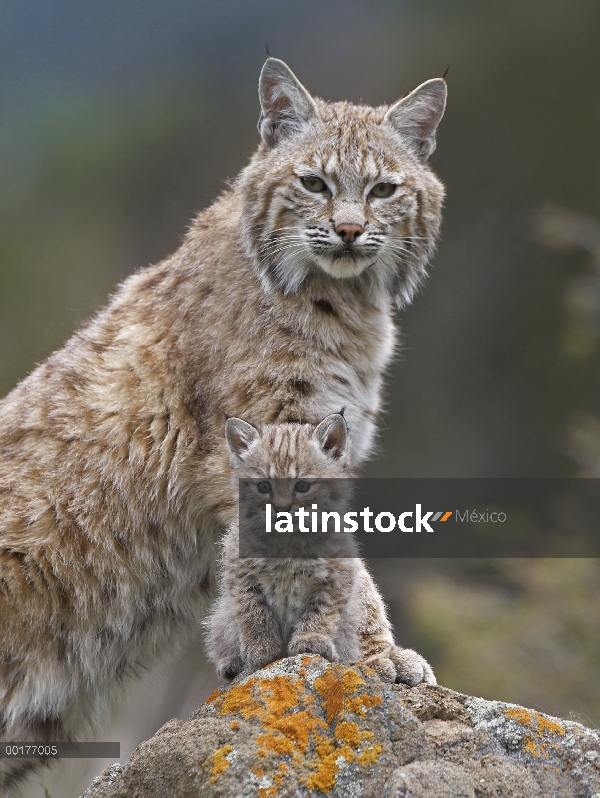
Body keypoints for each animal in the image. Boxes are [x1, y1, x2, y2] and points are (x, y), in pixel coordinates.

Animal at [207, 412, 436, 688]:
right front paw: (261, 650)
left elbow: (322, 611)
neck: (287, 540)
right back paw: (230, 662)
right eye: (263, 487)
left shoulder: (338, 573)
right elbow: (253, 611)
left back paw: (389, 661)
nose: (281, 509)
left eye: (303, 486)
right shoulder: (239, 573)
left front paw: (309, 643)